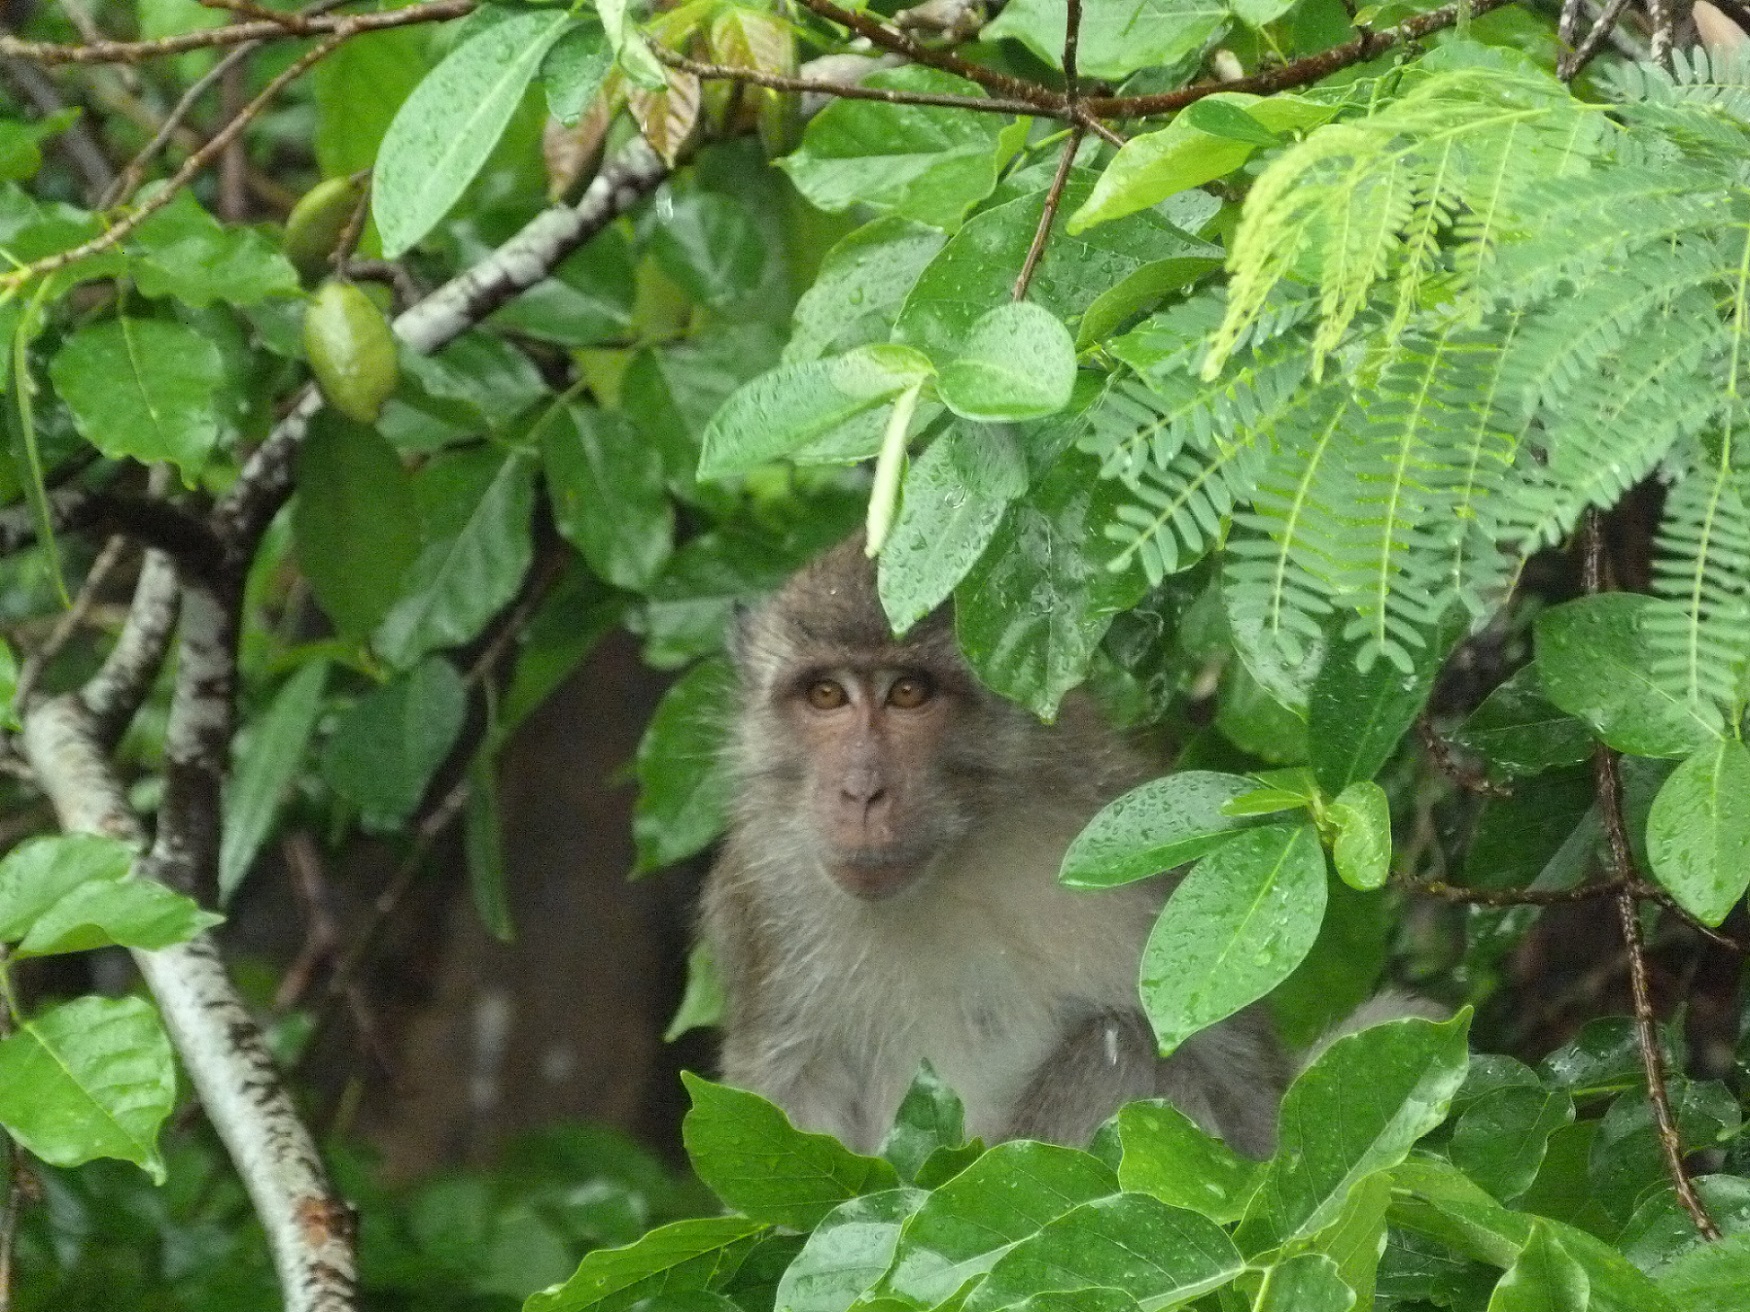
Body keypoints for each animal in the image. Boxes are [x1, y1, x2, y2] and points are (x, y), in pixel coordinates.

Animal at [699, 537, 1290, 1157]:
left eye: (907, 692)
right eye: (826, 694)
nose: (861, 791)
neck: (954, 861)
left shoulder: (1142, 850)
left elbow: (1252, 1107)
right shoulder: (762, 887)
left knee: (1123, 1046)